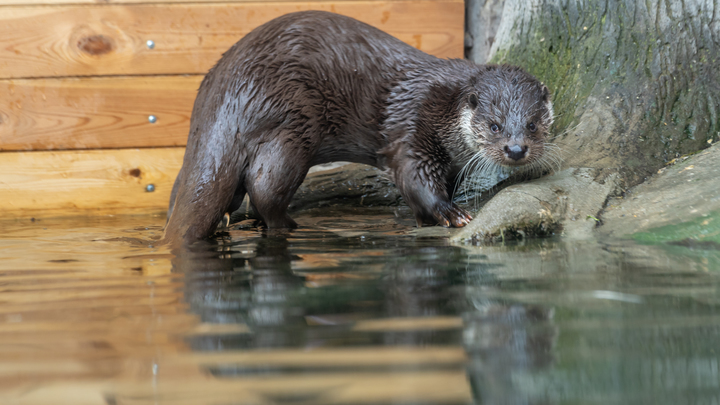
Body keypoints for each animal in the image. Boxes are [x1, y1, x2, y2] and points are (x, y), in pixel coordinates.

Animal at [165, 11, 556, 245]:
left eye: (533, 124)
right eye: (494, 125)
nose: (516, 149)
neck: (446, 104)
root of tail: (226, 87)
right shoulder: (413, 128)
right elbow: (414, 178)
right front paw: (450, 212)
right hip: (290, 127)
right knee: (264, 185)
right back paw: (286, 224)